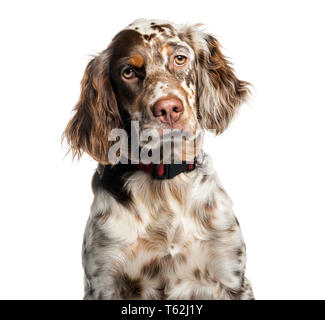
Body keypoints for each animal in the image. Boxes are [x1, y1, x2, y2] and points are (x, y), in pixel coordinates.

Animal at [63, 18, 253, 300]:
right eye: (128, 72)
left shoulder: (231, 277)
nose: (169, 109)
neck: (165, 180)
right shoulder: (104, 281)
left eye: (179, 58)